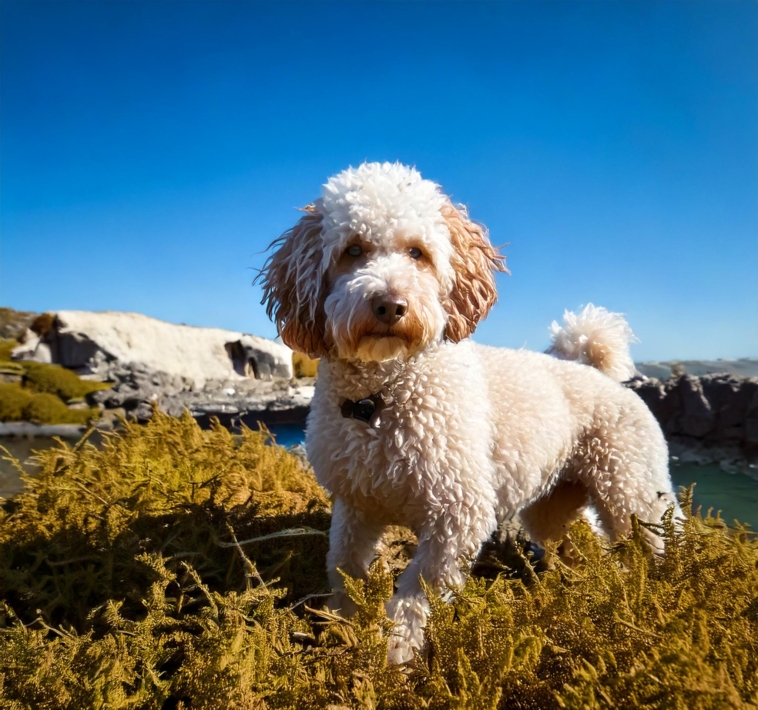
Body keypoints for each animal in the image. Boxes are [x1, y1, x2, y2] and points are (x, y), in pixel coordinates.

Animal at [262, 164, 684, 664]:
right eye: (353, 250)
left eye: (417, 252)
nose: (390, 305)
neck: (380, 396)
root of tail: (601, 376)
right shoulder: (357, 503)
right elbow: (343, 565)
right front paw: (340, 625)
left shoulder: (458, 512)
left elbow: (418, 588)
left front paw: (397, 652)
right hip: (555, 501)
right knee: (581, 541)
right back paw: (583, 587)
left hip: (631, 488)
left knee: (653, 539)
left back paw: (655, 593)